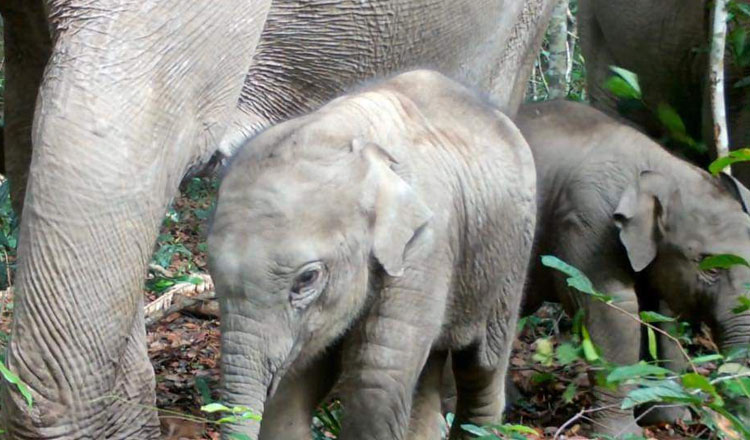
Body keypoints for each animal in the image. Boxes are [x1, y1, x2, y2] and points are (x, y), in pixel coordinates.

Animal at [210, 70, 540, 438]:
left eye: (307, 278)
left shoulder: (425, 246)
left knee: (481, 370)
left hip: (512, 257)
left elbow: (377, 382)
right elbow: (292, 392)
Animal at [516, 101, 750, 434]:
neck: (659, 167)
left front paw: (668, 417)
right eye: (710, 269)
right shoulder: (587, 222)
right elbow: (614, 310)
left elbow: (661, 315)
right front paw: (623, 434)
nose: (728, 426)